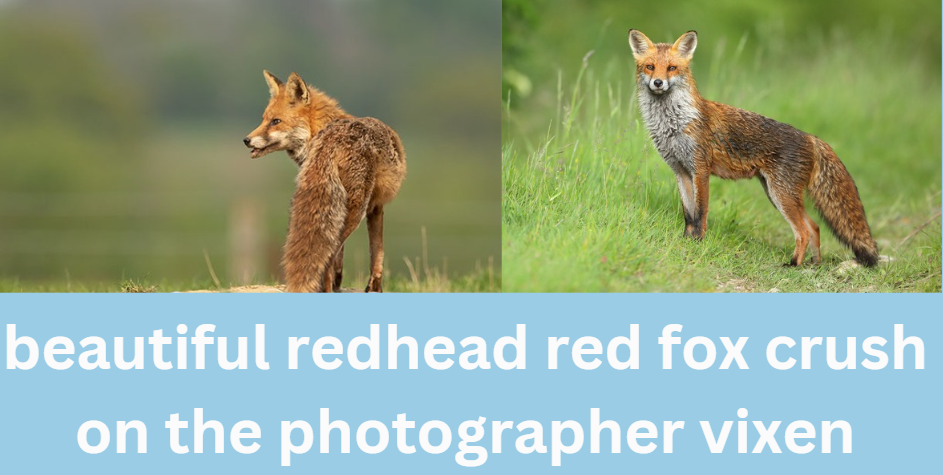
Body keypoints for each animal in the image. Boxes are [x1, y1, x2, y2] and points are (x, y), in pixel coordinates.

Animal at [243, 71, 406, 292]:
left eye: (275, 121)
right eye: (263, 120)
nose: (246, 140)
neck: (318, 131)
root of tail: (332, 140)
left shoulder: (366, 207)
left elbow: (350, 259)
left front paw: (341, 285)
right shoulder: (375, 207)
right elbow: (376, 253)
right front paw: (374, 289)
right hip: (354, 211)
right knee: (328, 257)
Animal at [628, 29, 876, 268]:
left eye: (672, 68)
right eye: (650, 67)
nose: (658, 82)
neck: (674, 124)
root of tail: (811, 137)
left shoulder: (700, 169)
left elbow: (700, 213)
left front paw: (698, 242)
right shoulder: (680, 171)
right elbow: (688, 215)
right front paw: (686, 241)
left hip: (781, 195)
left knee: (804, 231)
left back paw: (793, 264)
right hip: (776, 194)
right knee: (814, 226)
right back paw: (814, 264)